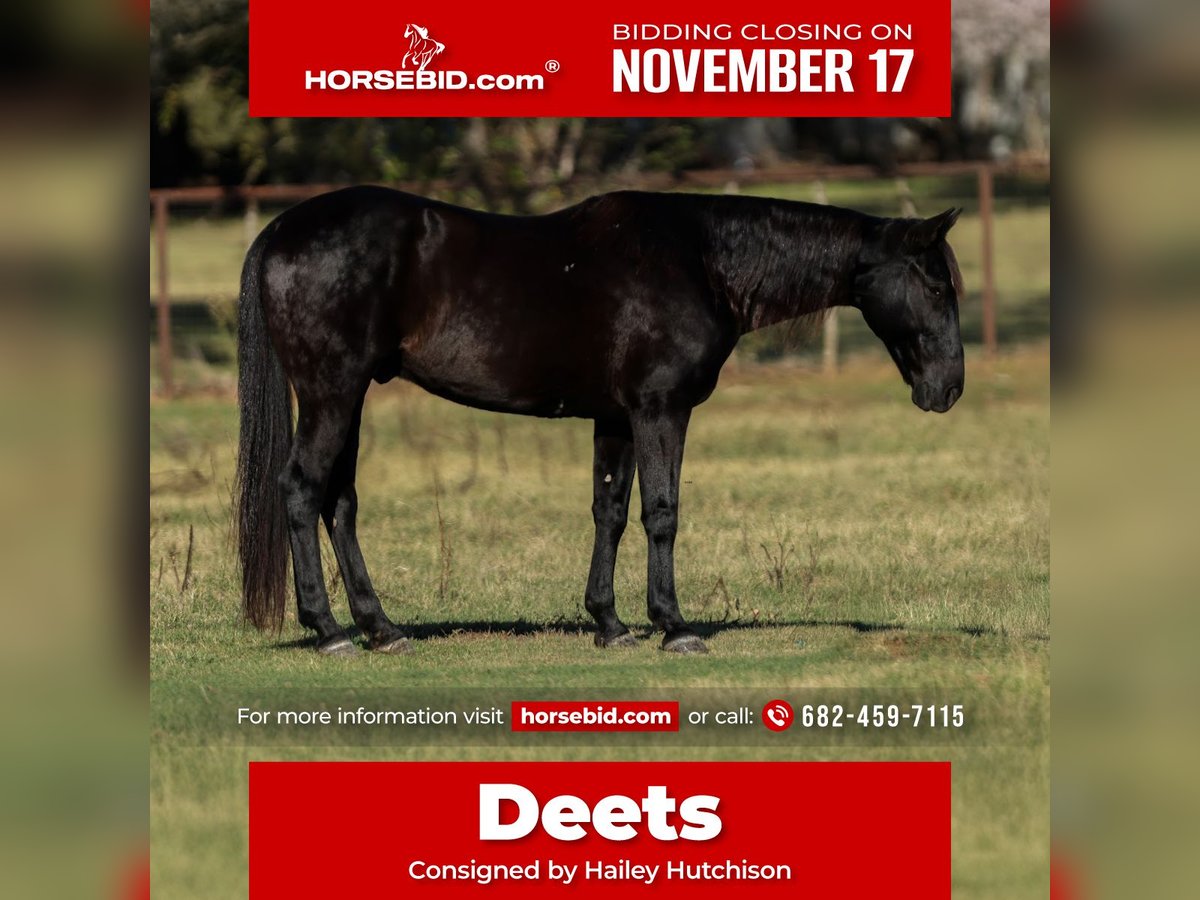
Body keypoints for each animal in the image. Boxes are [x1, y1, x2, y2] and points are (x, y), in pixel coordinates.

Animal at [236, 187, 965, 656]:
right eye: (935, 286)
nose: (950, 388)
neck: (700, 258)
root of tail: (280, 231)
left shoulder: (615, 417)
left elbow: (609, 511)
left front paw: (609, 623)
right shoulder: (659, 408)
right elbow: (661, 512)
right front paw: (674, 625)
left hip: (349, 397)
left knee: (339, 502)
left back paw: (381, 629)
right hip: (331, 393)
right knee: (301, 490)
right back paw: (330, 632)